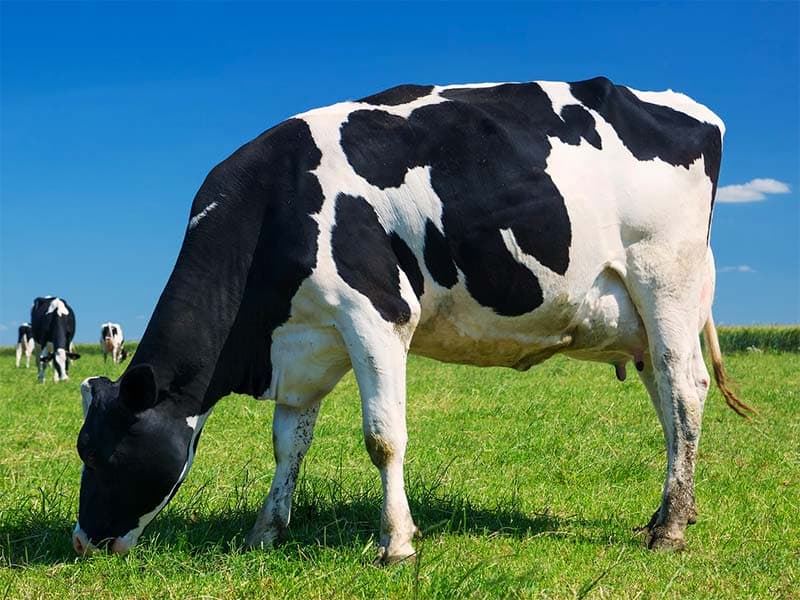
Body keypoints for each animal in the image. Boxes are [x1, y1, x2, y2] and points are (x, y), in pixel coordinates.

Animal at [73, 77, 756, 560]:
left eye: (102, 455)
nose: (81, 543)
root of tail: (688, 108)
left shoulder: (375, 315)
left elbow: (383, 437)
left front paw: (396, 543)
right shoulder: (303, 342)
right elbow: (288, 443)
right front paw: (266, 531)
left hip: (664, 280)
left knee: (685, 389)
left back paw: (670, 530)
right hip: (641, 316)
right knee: (667, 400)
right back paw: (672, 511)